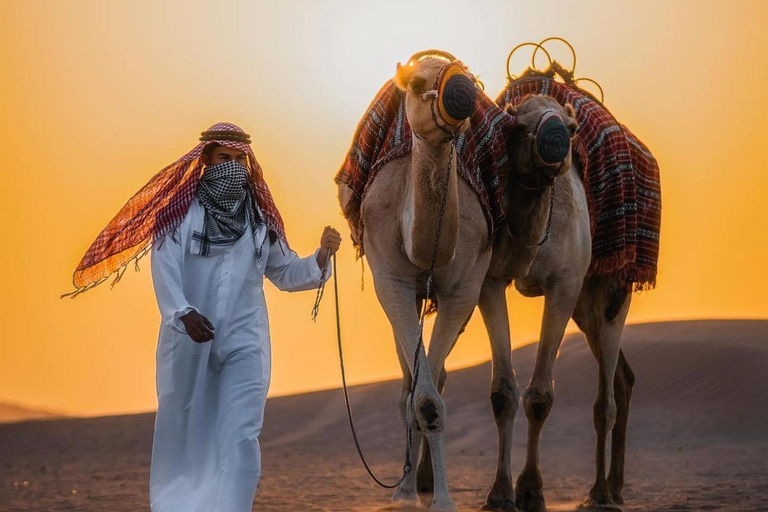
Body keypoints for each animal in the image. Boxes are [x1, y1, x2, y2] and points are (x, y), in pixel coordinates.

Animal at [338, 54, 492, 510]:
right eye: (419, 83)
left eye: (472, 80)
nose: (463, 93)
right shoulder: (391, 280)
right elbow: (419, 400)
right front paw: (409, 495)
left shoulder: (464, 290)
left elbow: (432, 399)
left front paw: (443, 499)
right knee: (407, 388)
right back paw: (406, 488)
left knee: (430, 380)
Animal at [474, 94, 636, 510]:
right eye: (516, 127)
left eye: (573, 127)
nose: (555, 138)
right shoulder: (490, 281)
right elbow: (502, 392)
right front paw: (500, 493)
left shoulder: (564, 285)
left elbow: (540, 395)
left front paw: (531, 489)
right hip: (585, 307)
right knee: (623, 379)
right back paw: (614, 486)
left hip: (610, 291)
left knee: (606, 397)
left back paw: (601, 492)